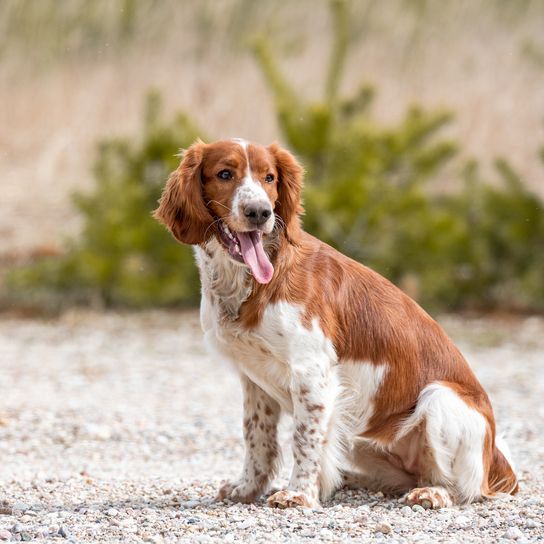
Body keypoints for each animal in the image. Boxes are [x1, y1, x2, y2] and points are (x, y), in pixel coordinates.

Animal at [154, 139, 520, 510]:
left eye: (269, 178)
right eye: (225, 174)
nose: (260, 213)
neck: (248, 281)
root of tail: (499, 462)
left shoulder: (312, 372)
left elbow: (304, 439)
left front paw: (299, 493)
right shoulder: (253, 379)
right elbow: (256, 436)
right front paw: (247, 488)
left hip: (438, 398)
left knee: (462, 487)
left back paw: (433, 492)